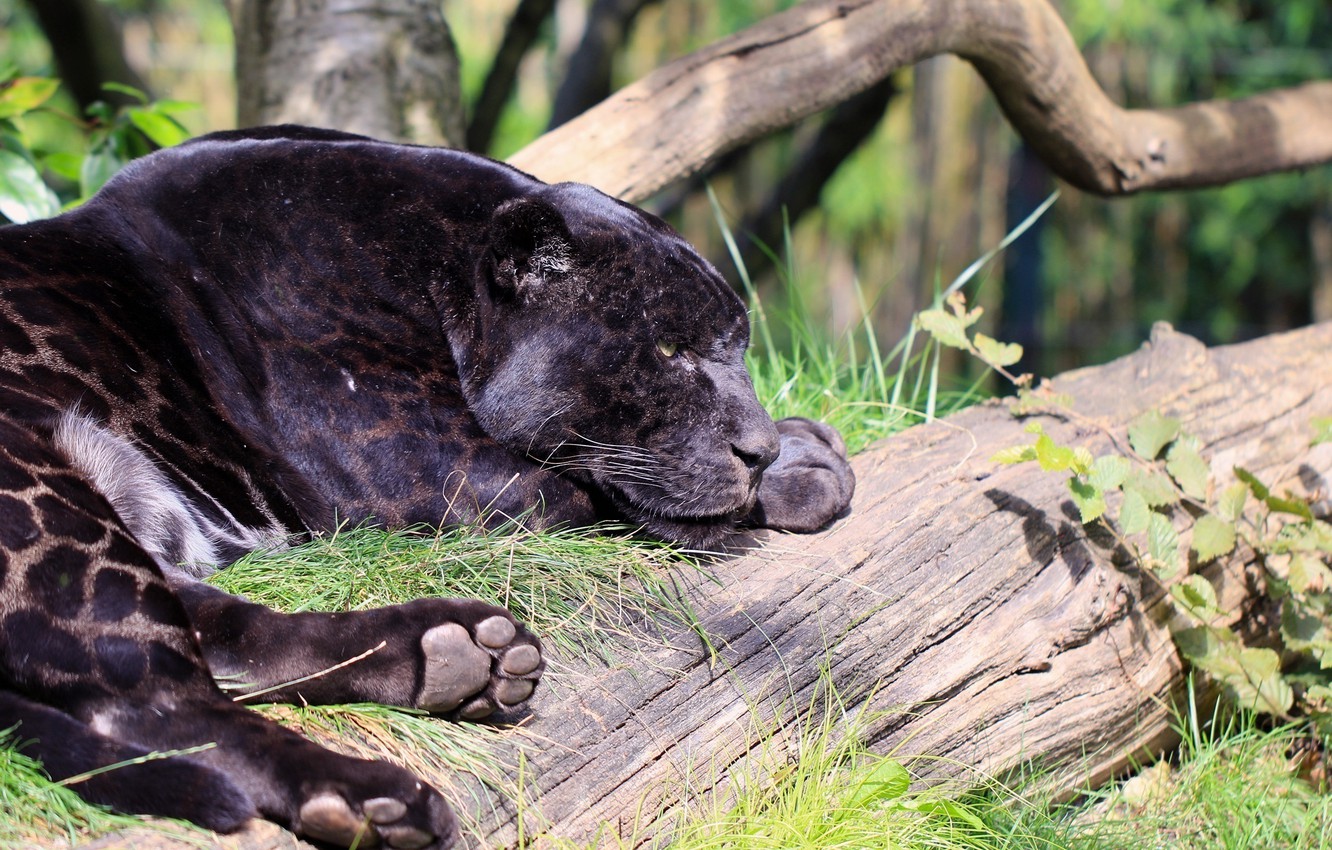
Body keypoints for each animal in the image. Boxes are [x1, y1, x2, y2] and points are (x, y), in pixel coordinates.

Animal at [0, 126, 855, 849]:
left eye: (739, 347)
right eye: (670, 350)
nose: (757, 447)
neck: (436, 269)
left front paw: (807, 448)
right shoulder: (441, 472)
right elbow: (604, 491)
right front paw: (799, 472)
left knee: (225, 640)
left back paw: (458, 655)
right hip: (46, 502)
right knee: (160, 701)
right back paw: (369, 797)